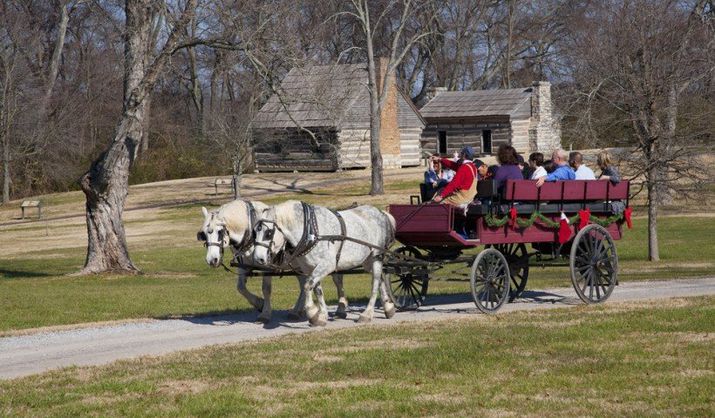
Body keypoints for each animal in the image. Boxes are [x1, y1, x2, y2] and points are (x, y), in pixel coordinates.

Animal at [199, 201, 350, 322]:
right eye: (204, 234)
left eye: (220, 231)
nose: (212, 259)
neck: (250, 232)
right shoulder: (243, 266)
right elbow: (240, 287)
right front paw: (259, 304)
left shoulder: (266, 265)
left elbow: (266, 289)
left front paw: (265, 312)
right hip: (299, 266)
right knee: (304, 285)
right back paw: (297, 311)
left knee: (337, 280)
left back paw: (341, 308)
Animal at [252, 200, 398, 326]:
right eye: (255, 232)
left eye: (268, 233)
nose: (258, 259)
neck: (311, 231)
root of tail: (382, 213)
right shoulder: (310, 268)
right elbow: (317, 290)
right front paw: (321, 316)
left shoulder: (327, 265)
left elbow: (307, 285)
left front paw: (312, 313)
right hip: (367, 261)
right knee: (380, 279)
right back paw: (388, 308)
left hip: (376, 256)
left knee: (375, 283)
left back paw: (367, 314)